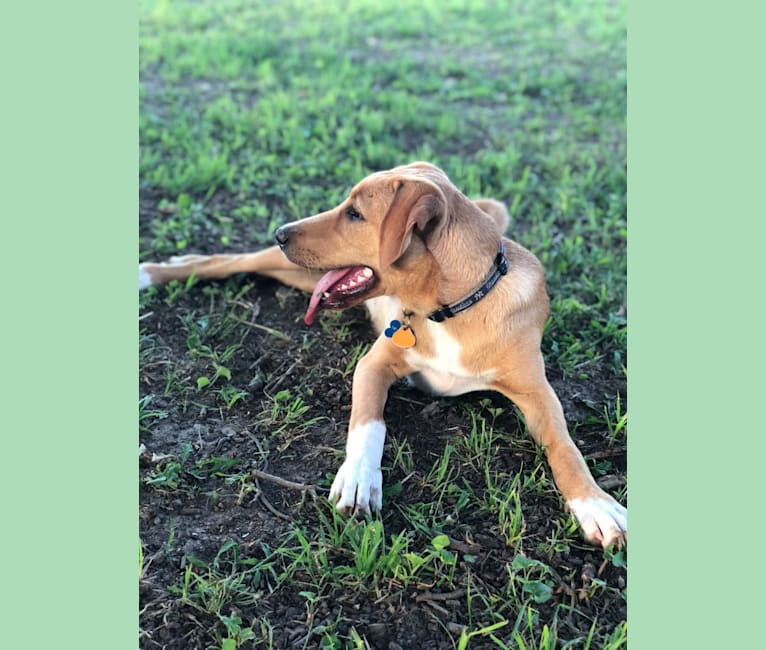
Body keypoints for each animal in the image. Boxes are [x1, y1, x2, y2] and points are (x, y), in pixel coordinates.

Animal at [140, 162, 632, 548]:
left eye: (356, 213)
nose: (280, 232)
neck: (449, 311)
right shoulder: (373, 365)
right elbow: (368, 423)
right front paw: (359, 478)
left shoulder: (537, 391)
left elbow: (565, 447)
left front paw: (596, 505)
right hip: (291, 267)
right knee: (227, 260)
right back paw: (154, 273)